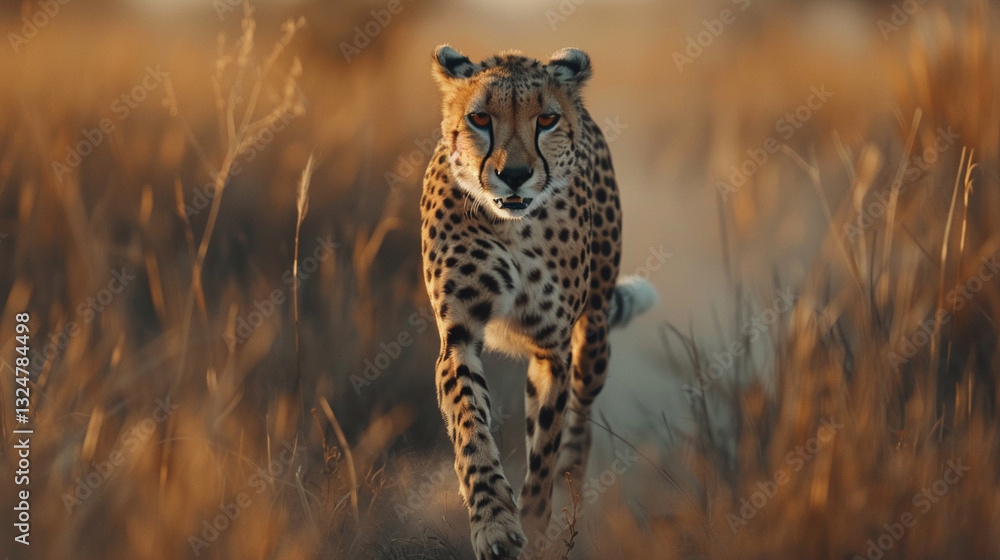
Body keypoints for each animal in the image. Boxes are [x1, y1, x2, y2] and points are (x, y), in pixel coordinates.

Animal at [419, 45, 658, 560]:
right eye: (480, 118)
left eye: (546, 119)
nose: (514, 175)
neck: (512, 225)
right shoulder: (459, 336)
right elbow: (471, 429)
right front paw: (495, 523)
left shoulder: (554, 347)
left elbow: (545, 444)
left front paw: (535, 521)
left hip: (593, 336)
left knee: (580, 422)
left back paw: (570, 490)